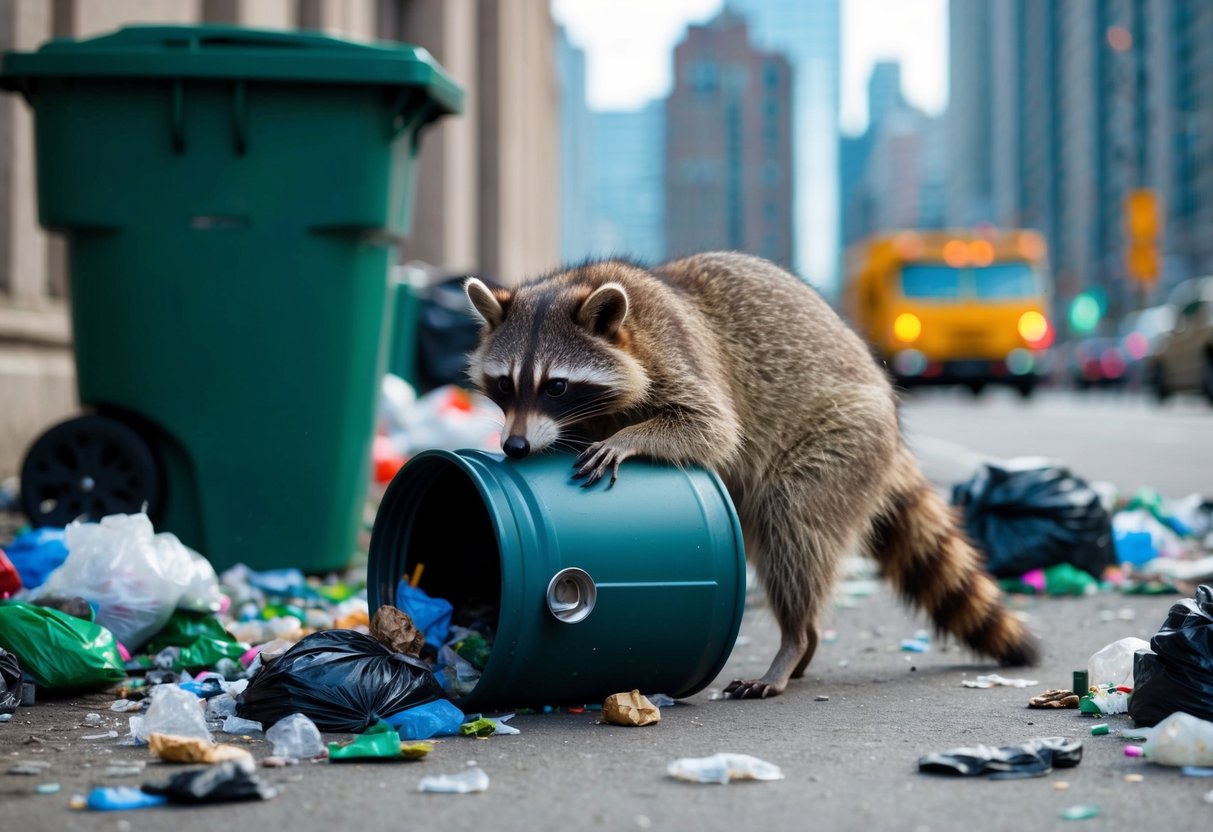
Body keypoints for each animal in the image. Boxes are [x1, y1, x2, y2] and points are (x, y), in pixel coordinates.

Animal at [464, 251, 1039, 699]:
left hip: (845, 438)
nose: (514, 446)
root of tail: (893, 429)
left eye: (556, 386)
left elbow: (713, 427)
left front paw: (628, 439)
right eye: (505, 384)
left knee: (794, 528)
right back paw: (804, 643)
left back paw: (795, 639)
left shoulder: (677, 354)